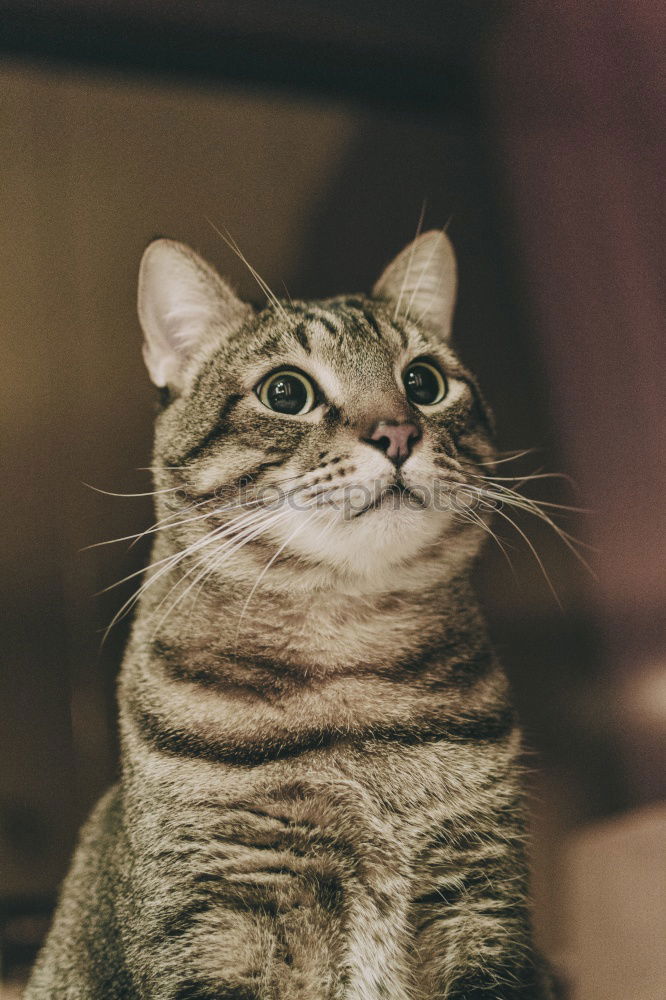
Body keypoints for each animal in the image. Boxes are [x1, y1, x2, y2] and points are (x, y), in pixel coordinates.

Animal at [26, 232, 552, 1000]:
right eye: (286, 392)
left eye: (424, 382)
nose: (398, 432)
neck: (352, 657)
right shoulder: (215, 924)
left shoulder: (482, 908)